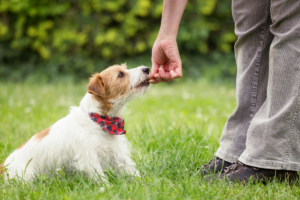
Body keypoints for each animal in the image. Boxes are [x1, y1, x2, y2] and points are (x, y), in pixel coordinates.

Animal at [0, 64, 150, 183]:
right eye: (120, 74)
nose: (147, 69)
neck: (99, 120)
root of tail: (3, 167)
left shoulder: (118, 154)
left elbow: (131, 170)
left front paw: (143, 184)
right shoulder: (89, 159)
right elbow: (102, 179)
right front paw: (108, 190)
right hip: (27, 177)